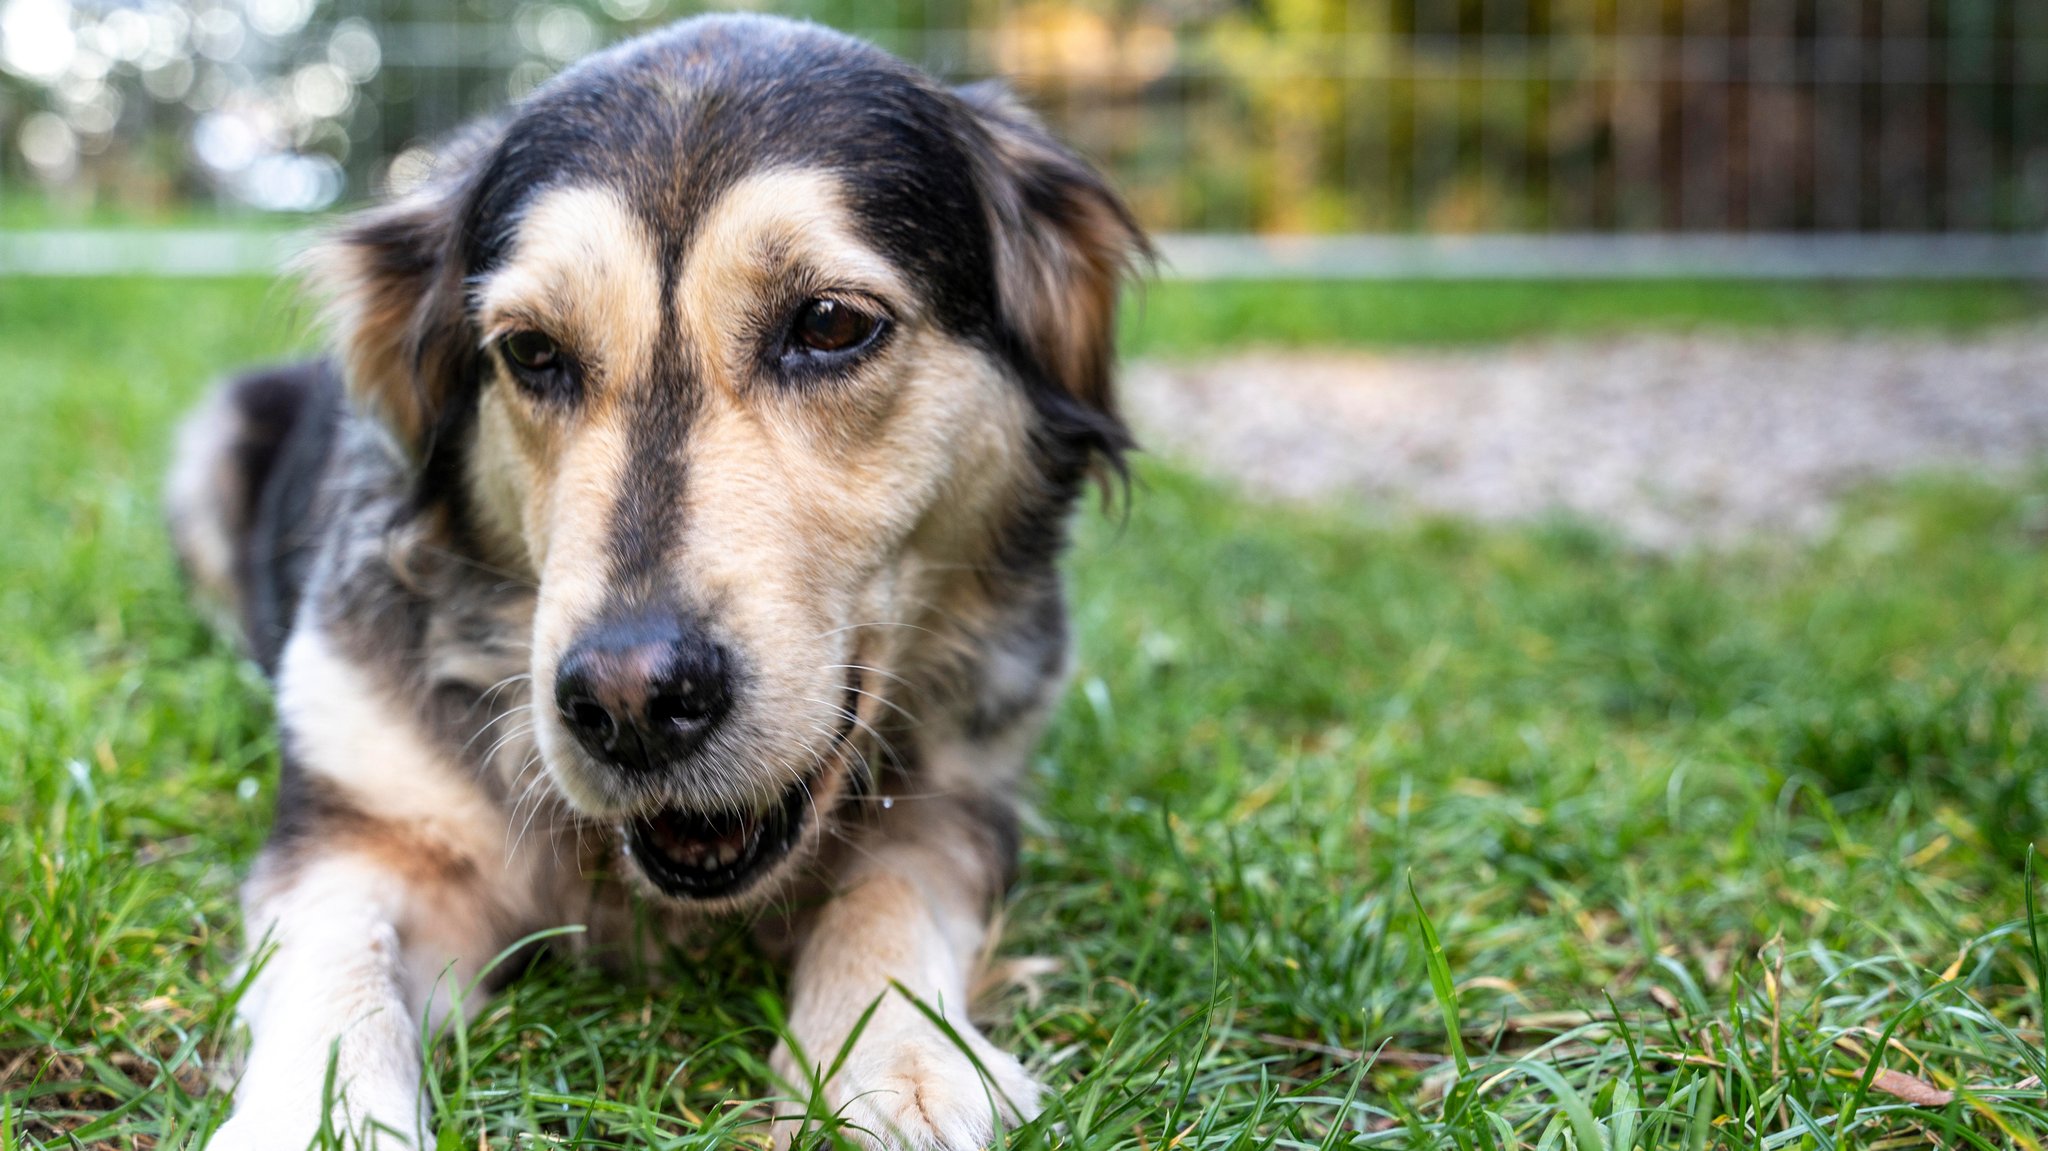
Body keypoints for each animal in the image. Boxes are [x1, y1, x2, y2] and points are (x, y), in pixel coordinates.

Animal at [167, 13, 1146, 1138]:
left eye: (830, 323)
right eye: (531, 351)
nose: (629, 703)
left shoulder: (972, 795)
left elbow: (892, 889)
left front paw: (899, 1061)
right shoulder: (358, 827)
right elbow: (337, 958)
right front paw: (310, 1118)